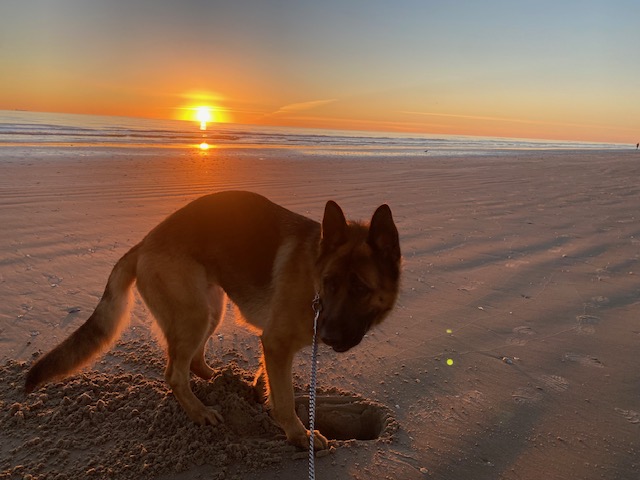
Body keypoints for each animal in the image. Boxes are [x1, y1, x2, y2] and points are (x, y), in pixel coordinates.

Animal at [25, 191, 401, 450]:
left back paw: (216, 378)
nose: (327, 334)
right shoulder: (277, 343)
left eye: (360, 288)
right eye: (329, 283)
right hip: (195, 314)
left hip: (212, 309)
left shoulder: (273, 346)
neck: (313, 272)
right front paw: (298, 435)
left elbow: (271, 381)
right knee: (174, 374)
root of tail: (145, 242)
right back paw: (199, 411)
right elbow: (284, 399)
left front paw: (259, 390)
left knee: (191, 360)